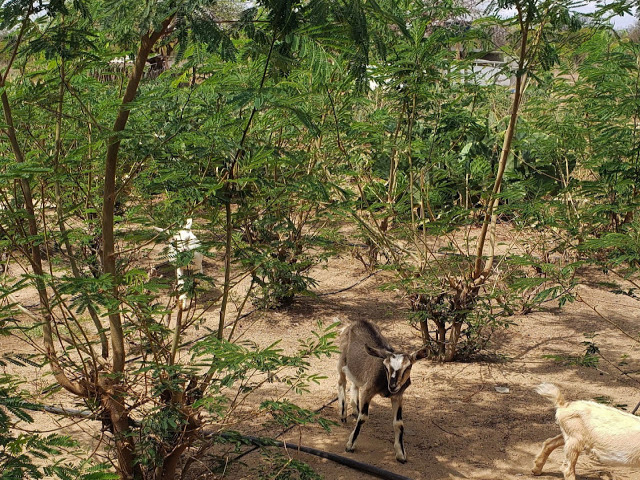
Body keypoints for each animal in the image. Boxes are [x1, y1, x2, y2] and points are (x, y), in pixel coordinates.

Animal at [338, 320, 428, 464]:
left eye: (408, 367)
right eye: (385, 367)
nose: (392, 386)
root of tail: (356, 323)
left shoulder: (398, 396)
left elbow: (399, 423)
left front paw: (401, 454)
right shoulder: (368, 390)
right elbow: (363, 417)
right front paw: (350, 445)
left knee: (354, 383)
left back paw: (355, 410)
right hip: (341, 359)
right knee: (341, 381)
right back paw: (343, 413)